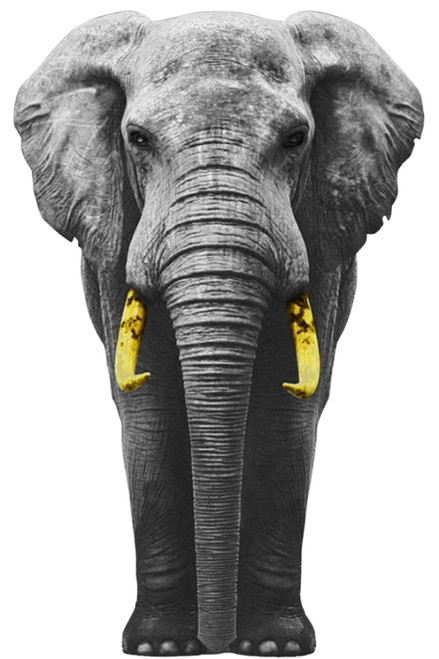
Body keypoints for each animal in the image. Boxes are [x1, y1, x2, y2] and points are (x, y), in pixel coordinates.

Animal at [14, 9, 423, 657]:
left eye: (296, 139)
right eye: (137, 139)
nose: (217, 641)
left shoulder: (323, 237)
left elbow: (289, 413)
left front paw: (277, 645)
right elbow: (148, 408)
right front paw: (159, 646)